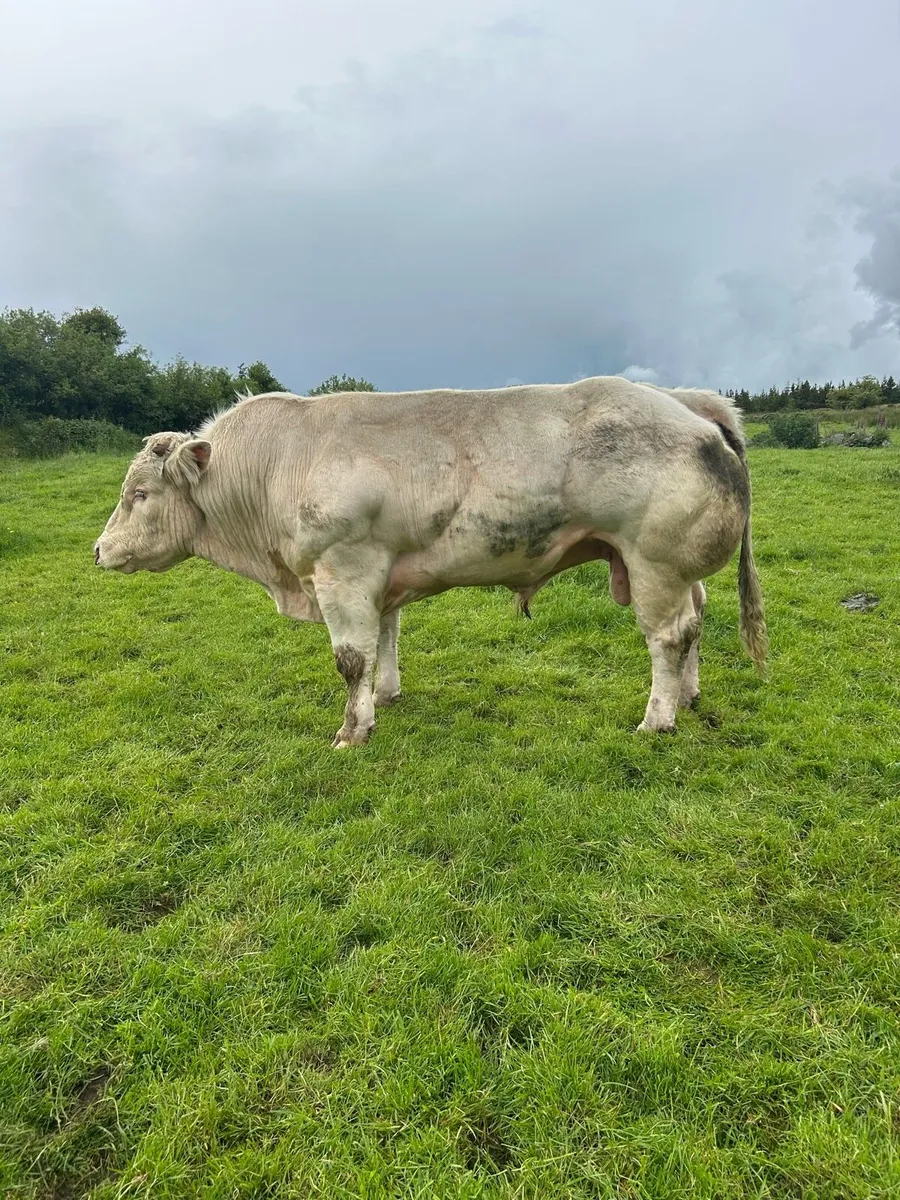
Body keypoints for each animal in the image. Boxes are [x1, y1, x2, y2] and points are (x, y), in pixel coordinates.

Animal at [94, 376, 767, 747]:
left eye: (140, 494)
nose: (99, 550)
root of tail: (686, 402)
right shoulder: (379, 574)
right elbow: (385, 639)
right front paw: (386, 696)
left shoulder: (342, 570)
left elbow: (351, 657)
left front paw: (352, 730)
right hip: (675, 571)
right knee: (696, 621)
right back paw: (690, 696)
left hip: (654, 564)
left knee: (668, 636)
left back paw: (659, 719)